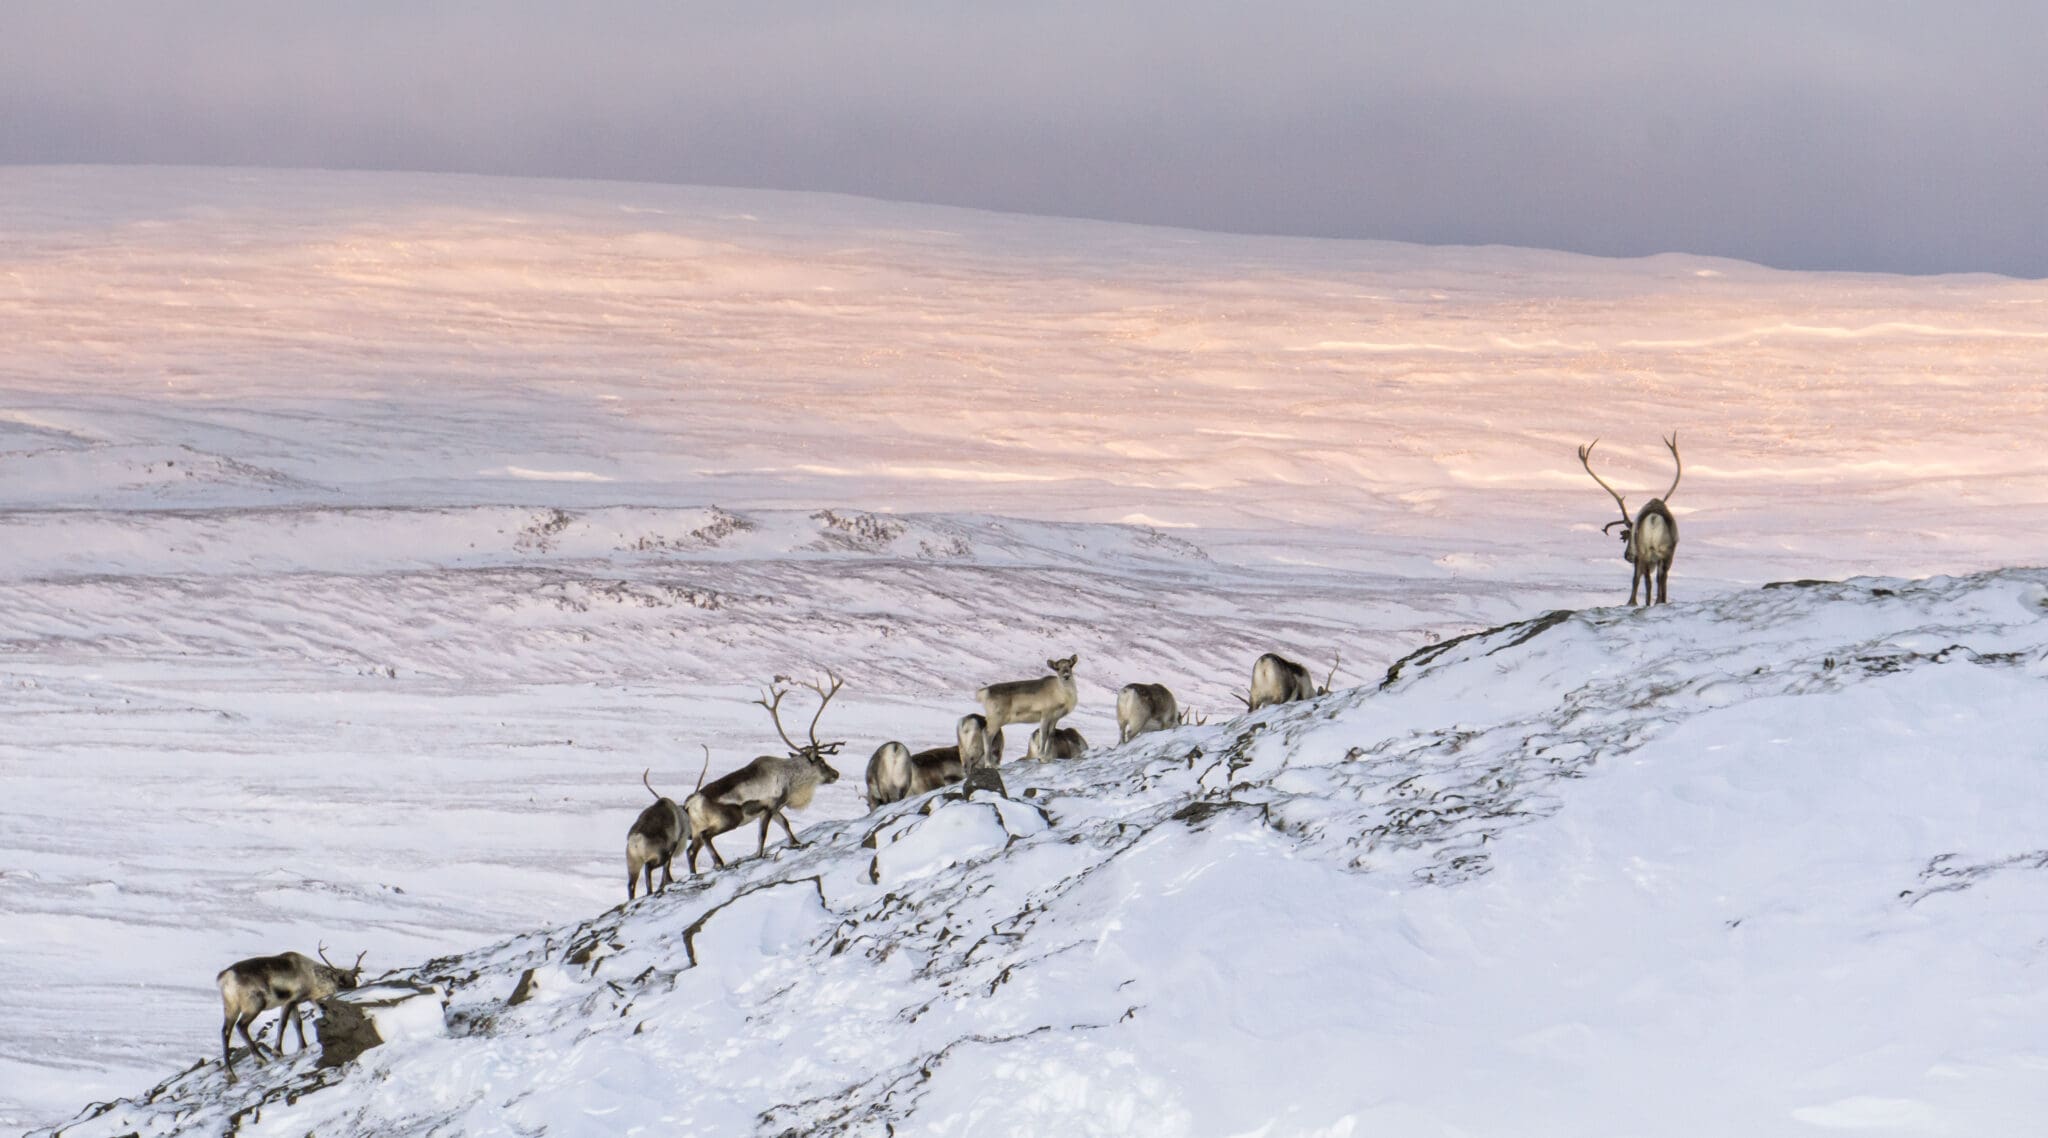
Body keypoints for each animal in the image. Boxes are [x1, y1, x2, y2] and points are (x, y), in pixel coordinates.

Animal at [216, 945, 365, 1084]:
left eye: (354, 981)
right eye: (340, 980)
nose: (350, 990)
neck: (311, 976)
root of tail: (226, 977)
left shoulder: (297, 1003)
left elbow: (298, 1024)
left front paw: (302, 1046)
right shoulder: (290, 1000)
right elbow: (283, 1024)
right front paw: (278, 1051)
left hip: (230, 1008)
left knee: (225, 1032)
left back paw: (230, 1074)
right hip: (254, 1005)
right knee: (241, 1026)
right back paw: (261, 1059)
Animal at [626, 766, 689, 900]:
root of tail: (636, 840)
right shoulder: (672, 847)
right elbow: (667, 866)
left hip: (633, 862)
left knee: (631, 885)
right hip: (656, 857)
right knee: (649, 867)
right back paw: (652, 891)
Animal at [685, 671, 845, 873]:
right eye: (822, 762)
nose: (836, 774)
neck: (791, 779)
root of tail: (691, 803)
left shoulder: (775, 809)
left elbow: (786, 824)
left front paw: (796, 843)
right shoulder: (769, 807)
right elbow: (763, 835)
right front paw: (760, 855)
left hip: (696, 830)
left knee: (691, 851)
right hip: (728, 820)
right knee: (706, 837)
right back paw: (719, 863)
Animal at [1578, 433, 1681, 605]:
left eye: (1627, 536)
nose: (1627, 556)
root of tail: (1654, 517)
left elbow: (1638, 579)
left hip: (1649, 553)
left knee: (1647, 579)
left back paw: (1642, 602)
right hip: (1659, 553)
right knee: (1657, 579)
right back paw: (1656, 601)